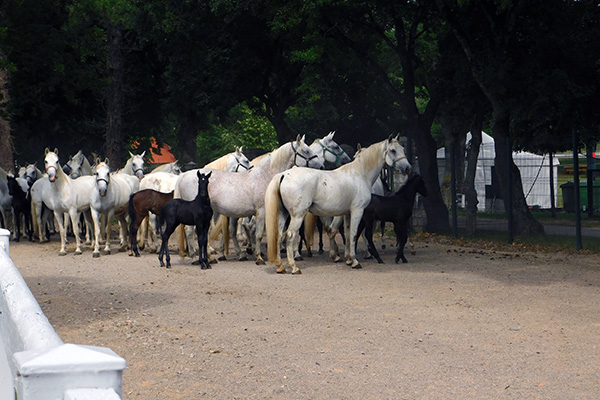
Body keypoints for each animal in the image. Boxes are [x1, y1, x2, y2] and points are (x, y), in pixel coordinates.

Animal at [177, 136, 324, 264]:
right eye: (306, 151)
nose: (322, 166)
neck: (266, 175)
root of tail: (183, 176)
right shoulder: (261, 212)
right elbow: (259, 234)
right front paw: (259, 258)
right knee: (190, 232)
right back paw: (195, 258)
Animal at [268, 136, 412, 274]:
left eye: (403, 149)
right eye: (393, 150)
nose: (407, 168)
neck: (360, 173)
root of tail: (284, 175)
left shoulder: (347, 213)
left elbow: (348, 234)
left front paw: (348, 259)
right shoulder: (357, 211)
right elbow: (354, 234)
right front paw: (355, 261)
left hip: (284, 214)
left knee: (279, 235)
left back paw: (280, 266)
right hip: (297, 216)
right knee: (290, 236)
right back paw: (294, 267)